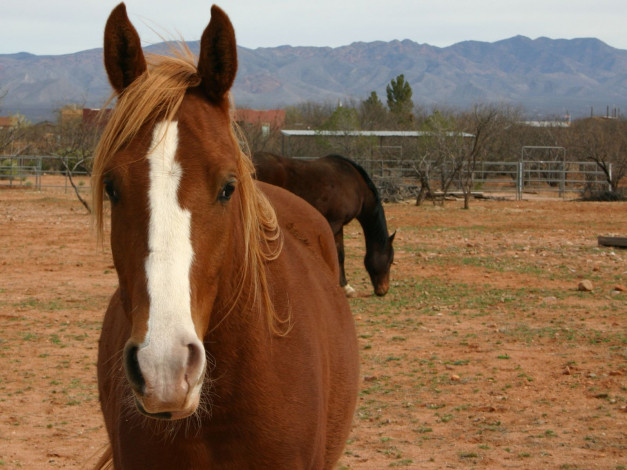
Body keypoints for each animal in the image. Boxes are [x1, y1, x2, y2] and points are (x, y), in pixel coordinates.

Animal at [253, 152, 394, 296]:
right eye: (390, 261)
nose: (383, 290)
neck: (355, 185)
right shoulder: (335, 223)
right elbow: (335, 254)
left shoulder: (339, 226)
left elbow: (340, 255)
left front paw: (344, 286)